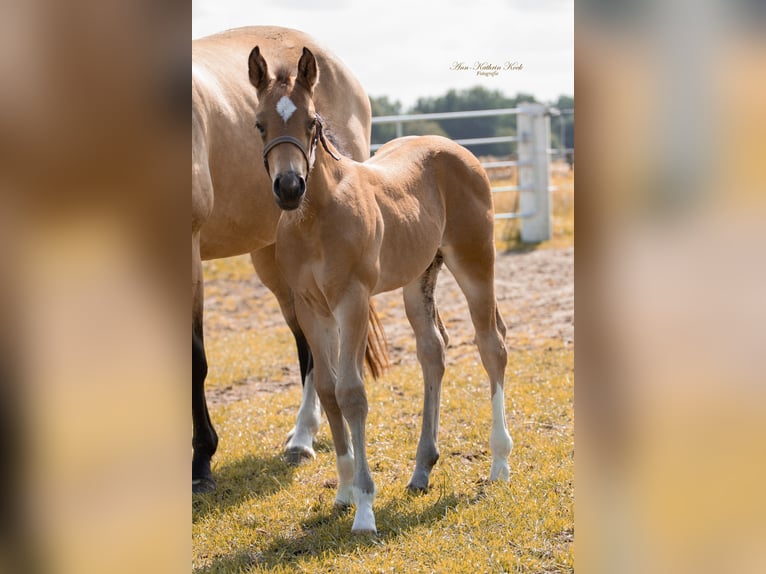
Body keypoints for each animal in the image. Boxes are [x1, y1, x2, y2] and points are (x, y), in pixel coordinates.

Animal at [192, 26, 388, 493]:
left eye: (311, 122)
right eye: (257, 124)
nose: (288, 186)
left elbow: (196, 360)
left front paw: (200, 463)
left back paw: (304, 436)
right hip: (273, 262)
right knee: (309, 341)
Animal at [247, 46, 513, 533]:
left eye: (312, 121)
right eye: (260, 124)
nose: (289, 187)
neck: (316, 217)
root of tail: (456, 149)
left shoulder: (352, 299)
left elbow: (353, 394)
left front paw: (365, 508)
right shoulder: (311, 307)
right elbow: (328, 390)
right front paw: (344, 491)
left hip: (475, 262)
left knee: (492, 345)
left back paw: (500, 462)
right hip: (418, 278)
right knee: (433, 350)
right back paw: (422, 469)